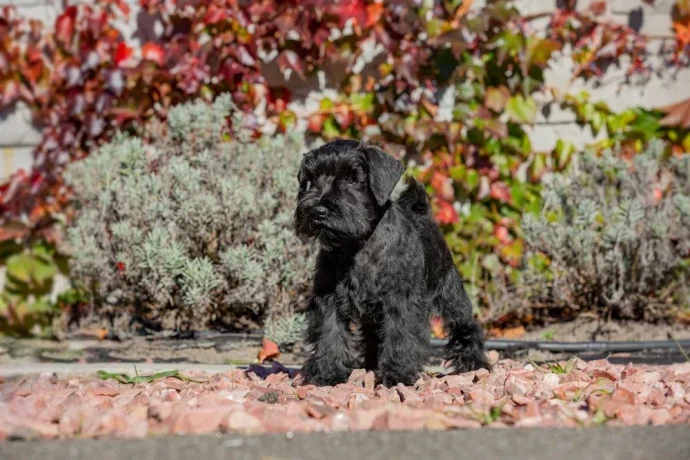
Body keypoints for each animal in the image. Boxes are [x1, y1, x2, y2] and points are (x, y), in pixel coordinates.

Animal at [292, 138, 486, 386]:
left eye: (351, 178)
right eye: (311, 180)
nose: (318, 210)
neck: (358, 246)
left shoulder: (401, 300)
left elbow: (400, 336)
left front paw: (397, 374)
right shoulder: (329, 299)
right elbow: (330, 334)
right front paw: (328, 373)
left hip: (451, 293)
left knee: (467, 326)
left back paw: (474, 364)